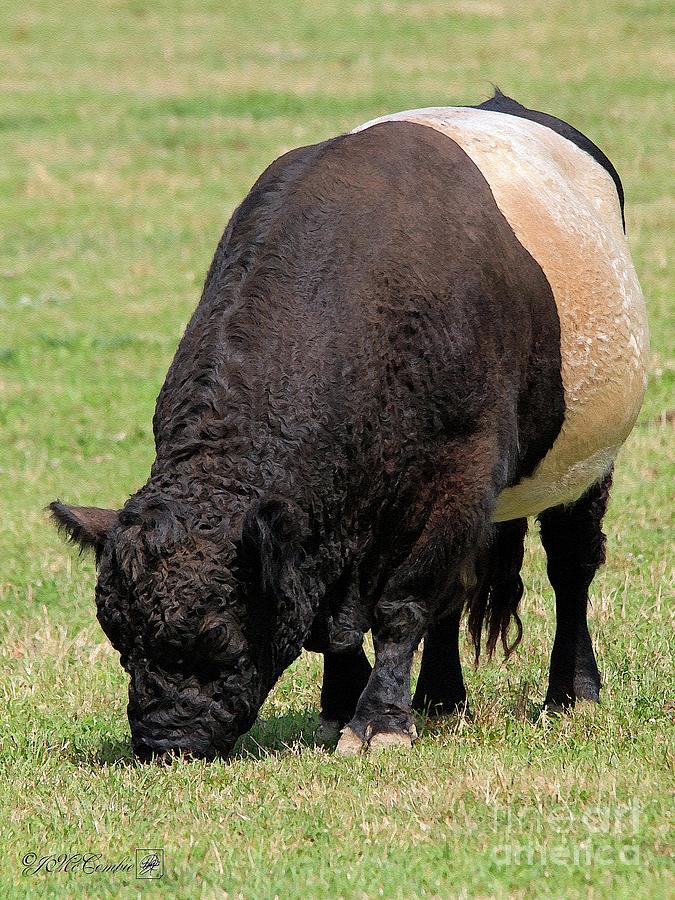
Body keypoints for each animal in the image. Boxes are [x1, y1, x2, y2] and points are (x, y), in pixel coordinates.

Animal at [48, 91, 648, 756]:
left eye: (219, 640)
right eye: (118, 641)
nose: (164, 742)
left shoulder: (456, 476)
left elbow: (403, 605)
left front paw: (380, 722)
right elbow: (334, 624)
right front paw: (342, 703)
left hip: (587, 460)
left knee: (571, 566)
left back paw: (571, 693)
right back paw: (441, 700)